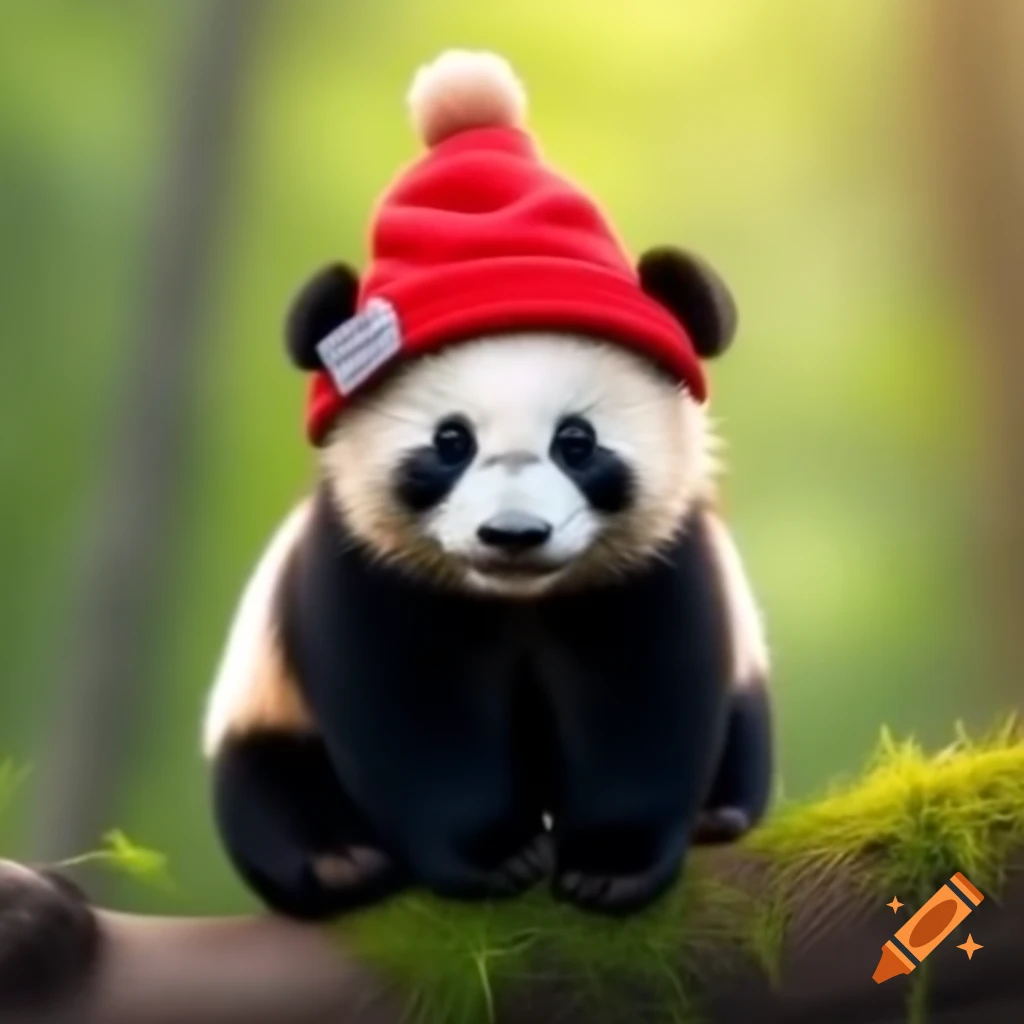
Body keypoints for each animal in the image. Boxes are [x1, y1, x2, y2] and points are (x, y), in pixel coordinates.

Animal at [202, 50, 772, 920]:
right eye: (450, 442)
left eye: (577, 442)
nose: (513, 535)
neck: (517, 600)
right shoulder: (366, 562)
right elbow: (411, 708)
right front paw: (495, 857)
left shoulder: (657, 557)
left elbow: (645, 693)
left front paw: (610, 865)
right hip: (263, 700)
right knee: (266, 780)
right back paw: (337, 862)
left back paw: (720, 815)